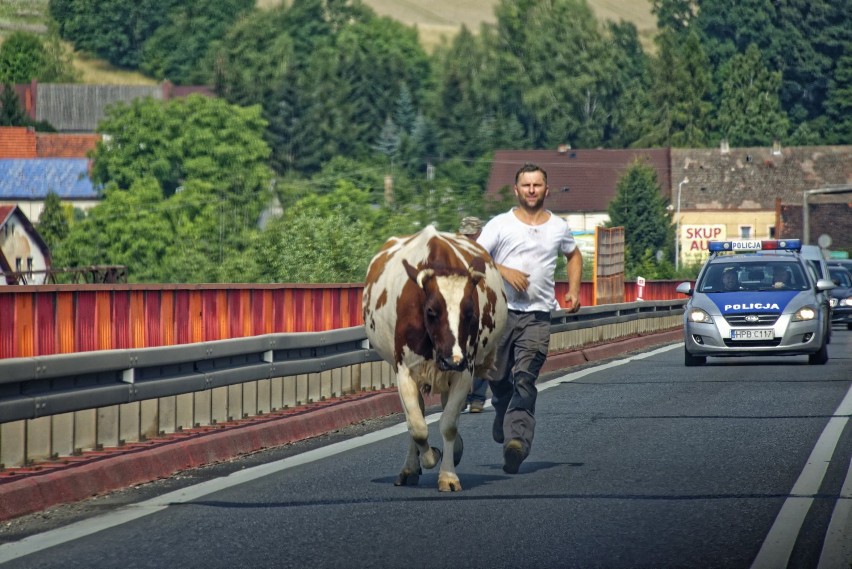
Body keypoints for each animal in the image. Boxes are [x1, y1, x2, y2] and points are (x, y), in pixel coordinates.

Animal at [362, 224, 506, 490]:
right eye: (431, 311)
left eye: (470, 312)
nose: (452, 360)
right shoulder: (405, 371)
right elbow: (417, 426)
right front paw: (429, 457)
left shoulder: (465, 371)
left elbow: (448, 424)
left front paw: (448, 474)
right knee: (416, 413)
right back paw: (410, 468)